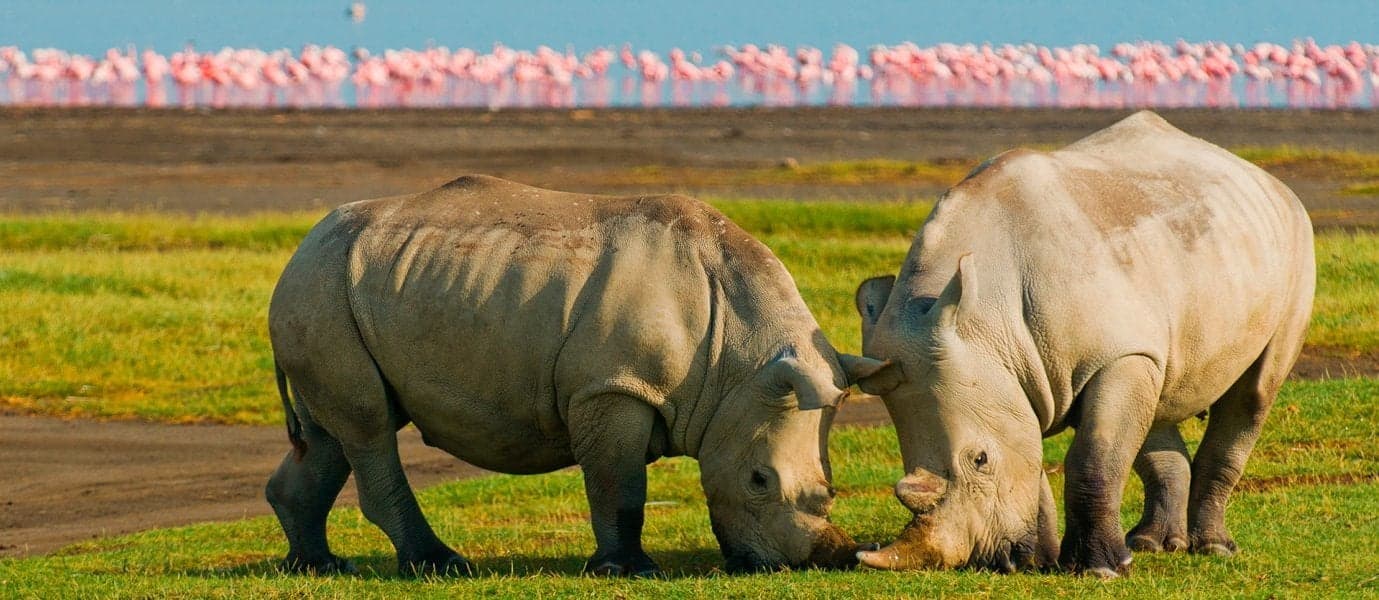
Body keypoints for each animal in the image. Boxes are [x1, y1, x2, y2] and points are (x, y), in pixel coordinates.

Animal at [265, 175, 886, 577]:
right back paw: (439, 567)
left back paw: (319, 566)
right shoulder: (613, 386)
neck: (739, 359)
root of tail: (301, 247)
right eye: (759, 480)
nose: (815, 561)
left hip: (341, 290)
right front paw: (628, 571)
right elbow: (619, 483)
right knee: (367, 425)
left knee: (332, 432)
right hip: (322, 288)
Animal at [850, 111, 1315, 577]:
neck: (985, 320)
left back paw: (1213, 548)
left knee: (1253, 394)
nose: (992, 561)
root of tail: (1262, 176)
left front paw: (1098, 570)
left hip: (1295, 240)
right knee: (1157, 397)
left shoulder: (1113, 356)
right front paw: (1042, 560)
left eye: (979, 459)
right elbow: (1033, 456)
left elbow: (1094, 456)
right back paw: (1151, 544)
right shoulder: (1014, 376)